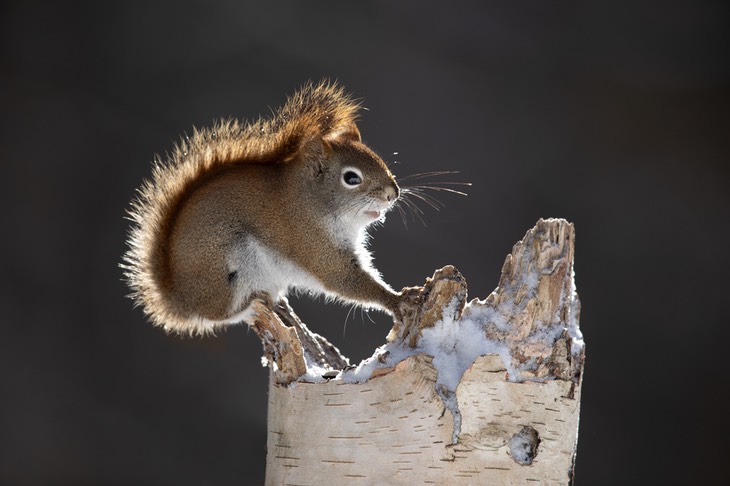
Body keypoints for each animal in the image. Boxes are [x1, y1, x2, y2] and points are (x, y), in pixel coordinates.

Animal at [125, 81, 410, 336]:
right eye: (351, 178)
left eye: (378, 158)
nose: (393, 194)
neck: (312, 202)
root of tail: (179, 298)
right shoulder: (312, 243)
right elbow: (343, 278)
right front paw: (397, 300)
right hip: (224, 273)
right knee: (220, 315)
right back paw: (250, 308)